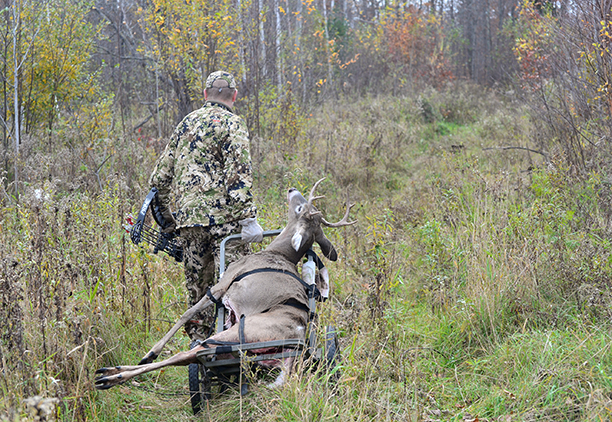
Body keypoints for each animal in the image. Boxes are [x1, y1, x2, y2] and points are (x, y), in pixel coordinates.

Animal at [93, 177, 356, 390]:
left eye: (300, 207)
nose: (291, 189)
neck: (278, 253)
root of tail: (298, 340)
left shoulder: (225, 282)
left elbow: (187, 313)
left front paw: (151, 351)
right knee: (194, 356)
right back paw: (112, 373)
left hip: (237, 333)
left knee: (191, 352)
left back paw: (110, 376)